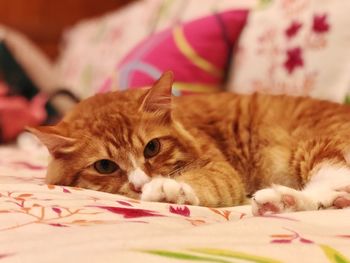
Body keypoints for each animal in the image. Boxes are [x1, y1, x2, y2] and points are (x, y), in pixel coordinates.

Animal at [28, 71, 350, 214]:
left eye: (152, 148)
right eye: (105, 166)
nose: (140, 185)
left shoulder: (220, 169)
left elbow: (201, 183)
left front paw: (167, 189)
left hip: (318, 148)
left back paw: (278, 199)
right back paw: (281, 203)